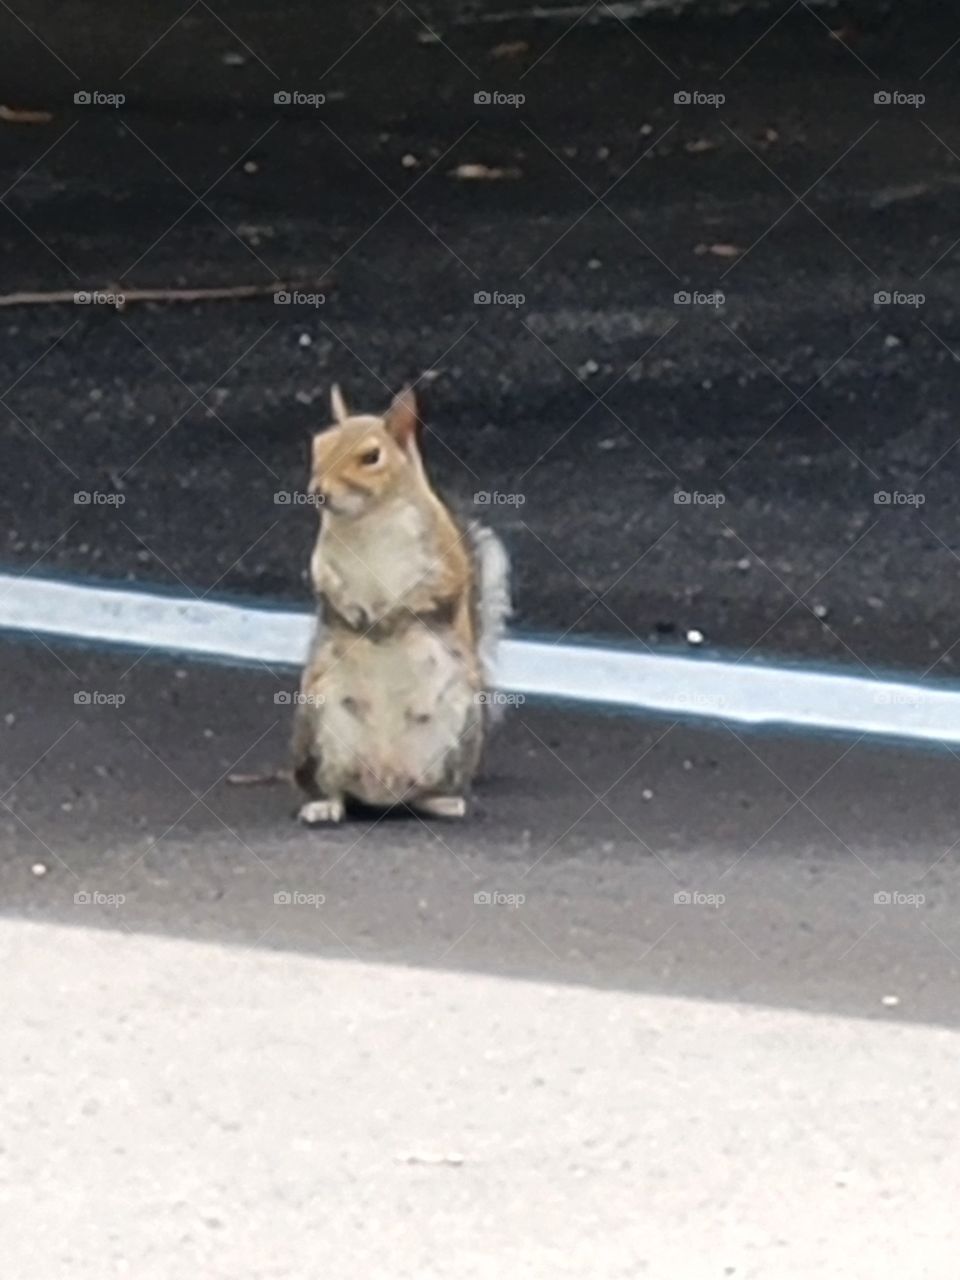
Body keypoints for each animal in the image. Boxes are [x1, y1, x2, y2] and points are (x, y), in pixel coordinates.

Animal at [291, 384, 511, 824]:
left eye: (371, 456)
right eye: (318, 444)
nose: (317, 492)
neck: (369, 520)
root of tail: (384, 788)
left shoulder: (446, 562)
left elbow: (433, 594)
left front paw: (392, 619)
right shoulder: (322, 560)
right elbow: (326, 585)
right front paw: (355, 614)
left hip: (460, 730)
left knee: (428, 792)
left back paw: (446, 802)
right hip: (316, 725)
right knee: (332, 788)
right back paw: (324, 806)